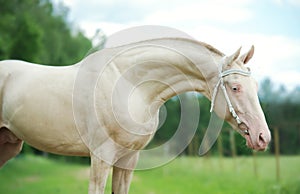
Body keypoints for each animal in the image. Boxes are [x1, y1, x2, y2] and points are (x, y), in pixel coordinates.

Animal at [0, 37, 272, 193]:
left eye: (256, 85)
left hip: (9, 144)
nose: (263, 137)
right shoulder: (101, 158)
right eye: (235, 88)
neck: (130, 84)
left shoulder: (128, 159)